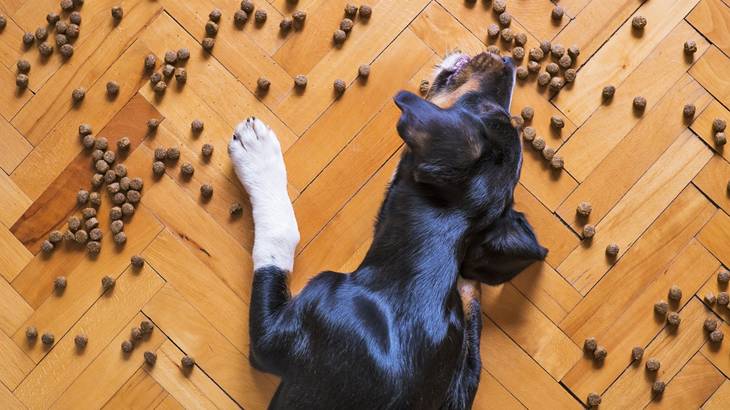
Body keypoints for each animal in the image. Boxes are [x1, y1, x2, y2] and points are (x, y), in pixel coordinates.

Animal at [228, 52, 544, 410]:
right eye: (496, 112)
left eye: (482, 109)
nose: (506, 61)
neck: (413, 275)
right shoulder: (460, 379)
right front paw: (468, 284)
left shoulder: (272, 339)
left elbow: (279, 238)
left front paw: (257, 155)